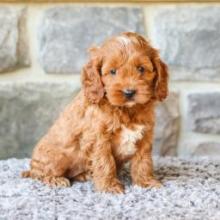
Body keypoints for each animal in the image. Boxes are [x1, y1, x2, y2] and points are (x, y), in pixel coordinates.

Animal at [21, 31, 168, 193]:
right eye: (113, 71)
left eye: (141, 69)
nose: (129, 92)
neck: (126, 110)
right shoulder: (98, 139)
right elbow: (105, 162)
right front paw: (110, 186)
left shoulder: (145, 137)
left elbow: (143, 161)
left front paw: (146, 182)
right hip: (56, 157)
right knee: (40, 173)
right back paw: (56, 179)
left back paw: (84, 174)